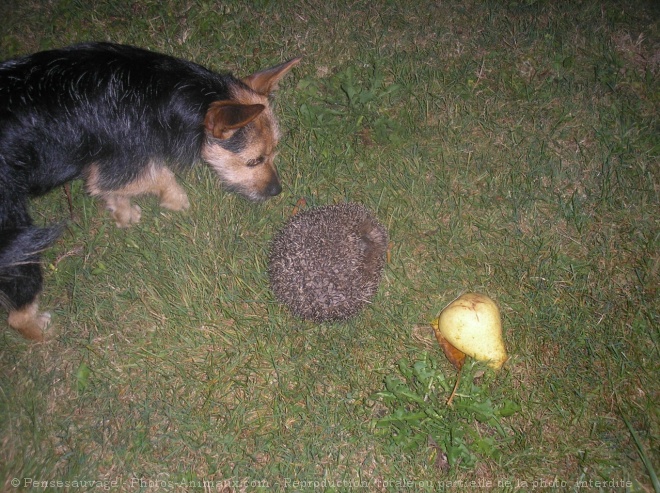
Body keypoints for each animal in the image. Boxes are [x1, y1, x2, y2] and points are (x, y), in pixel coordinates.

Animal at [0, 42, 300, 340]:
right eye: (254, 161)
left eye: (274, 151)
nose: (277, 190)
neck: (158, 94)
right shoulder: (126, 154)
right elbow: (161, 174)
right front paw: (175, 200)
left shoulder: (104, 167)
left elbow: (110, 187)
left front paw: (122, 213)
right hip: (19, 240)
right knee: (16, 314)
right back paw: (41, 332)